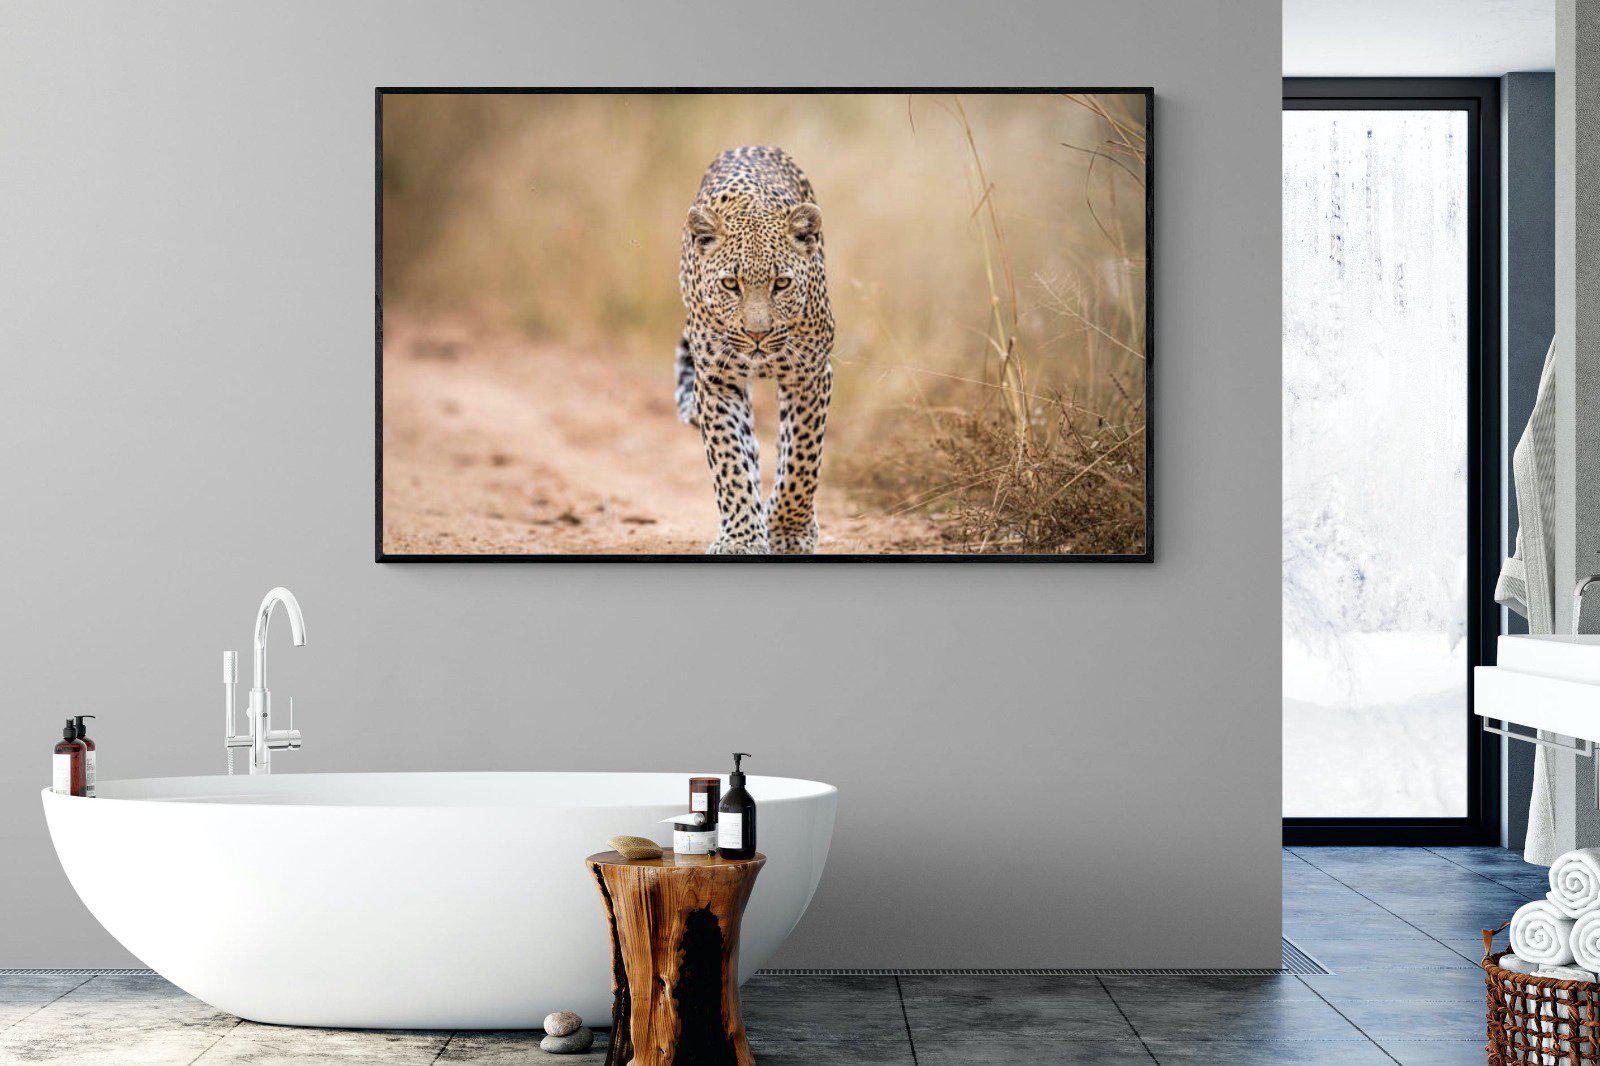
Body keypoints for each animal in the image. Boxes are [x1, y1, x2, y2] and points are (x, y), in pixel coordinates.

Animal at [675, 145, 834, 555]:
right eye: (731, 284)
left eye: (781, 284)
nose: (757, 334)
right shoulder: (716, 381)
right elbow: (730, 461)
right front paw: (741, 538)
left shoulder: (810, 374)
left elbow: (801, 458)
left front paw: (789, 531)